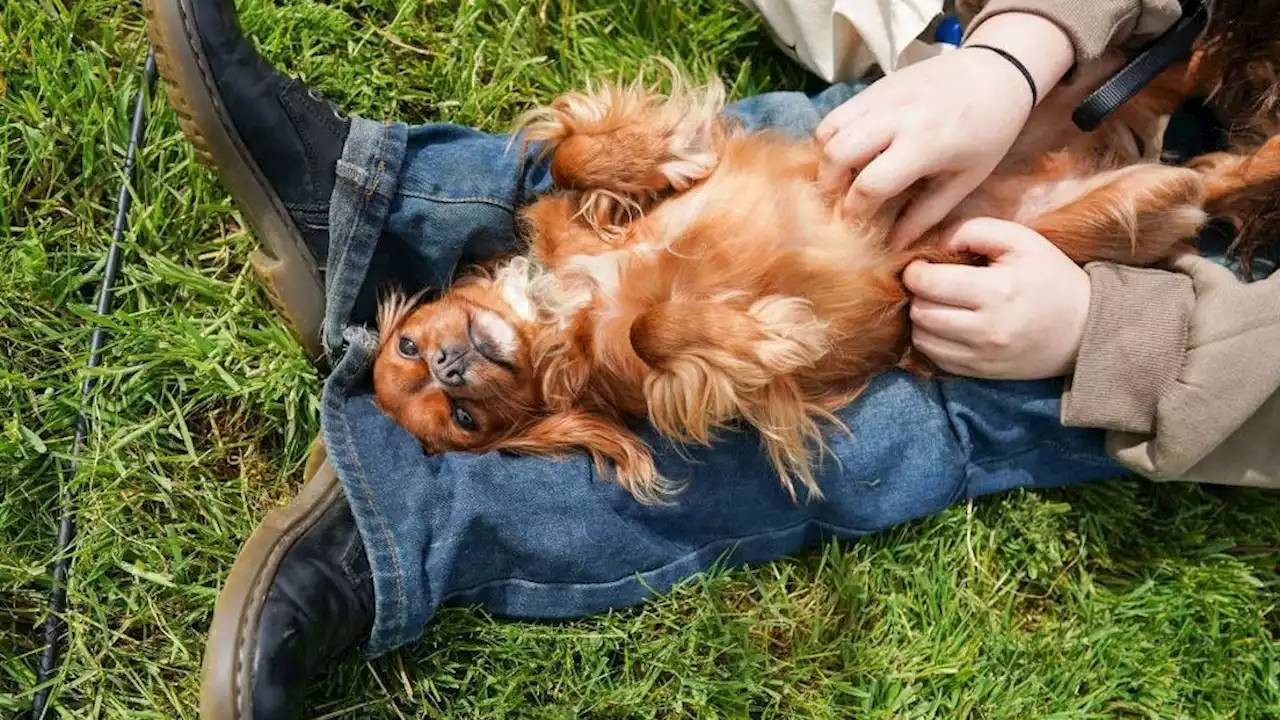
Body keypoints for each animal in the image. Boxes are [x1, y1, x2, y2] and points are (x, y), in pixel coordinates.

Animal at [368, 53, 1280, 502]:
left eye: (411, 343)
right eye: (461, 420)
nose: (451, 365)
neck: (563, 309)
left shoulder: (579, 219)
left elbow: (571, 160)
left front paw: (670, 154)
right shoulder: (680, 387)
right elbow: (660, 333)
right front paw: (766, 329)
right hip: (1132, 204)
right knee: (1219, 177)